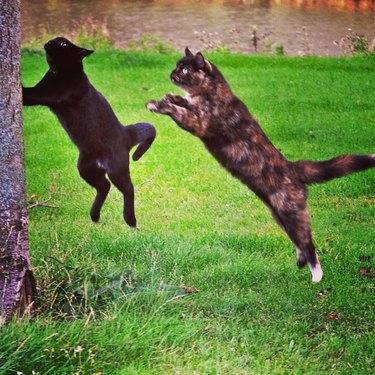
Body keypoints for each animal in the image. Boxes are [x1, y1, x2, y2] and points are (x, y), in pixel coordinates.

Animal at [23, 38, 156, 228]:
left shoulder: (47, 94)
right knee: (104, 186)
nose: (50, 41)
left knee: (128, 188)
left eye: (63, 44)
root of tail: (126, 132)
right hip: (85, 168)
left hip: (116, 169)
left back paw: (130, 220)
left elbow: (26, 93)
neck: (59, 72)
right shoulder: (41, 89)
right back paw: (94, 215)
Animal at [147, 47, 375, 282]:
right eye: (177, 66)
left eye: (184, 69)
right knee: (299, 242)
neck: (211, 92)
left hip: (291, 213)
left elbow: (180, 112)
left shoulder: (199, 123)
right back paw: (301, 263)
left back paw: (316, 276)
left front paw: (161, 104)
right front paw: (170, 97)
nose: (172, 74)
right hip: (278, 215)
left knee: (308, 243)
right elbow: (184, 102)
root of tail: (294, 168)